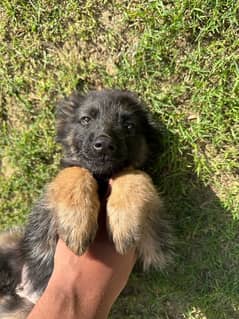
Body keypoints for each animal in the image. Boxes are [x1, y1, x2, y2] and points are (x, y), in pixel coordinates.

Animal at [0, 89, 173, 318]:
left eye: (129, 126)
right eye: (85, 120)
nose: (104, 145)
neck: (101, 179)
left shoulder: (153, 240)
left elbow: (134, 174)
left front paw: (124, 222)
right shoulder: (43, 219)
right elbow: (74, 171)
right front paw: (76, 223)